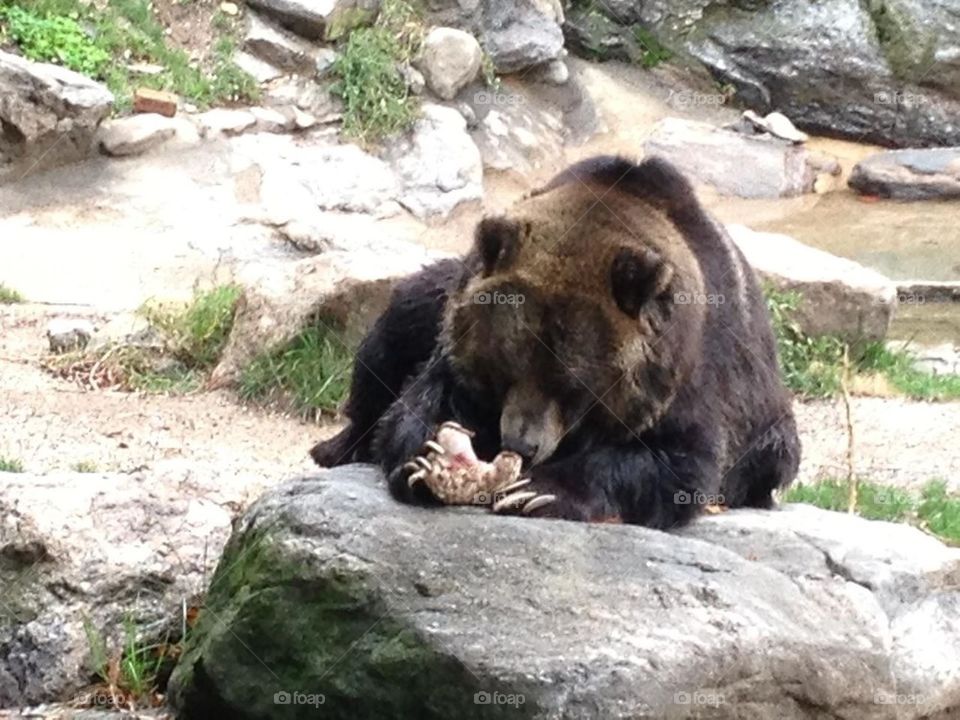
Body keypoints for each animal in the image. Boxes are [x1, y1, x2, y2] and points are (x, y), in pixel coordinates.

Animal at [310, 155, 801, 528]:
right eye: (503, 369)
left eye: (573, 387)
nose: (522, 445)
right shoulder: (454, 342)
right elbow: (419, 403)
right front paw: (429, 461)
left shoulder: (689, 376)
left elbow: (679, 462)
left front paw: (534, 491)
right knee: (393, 330)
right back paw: (337, 446)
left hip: (768, 430)